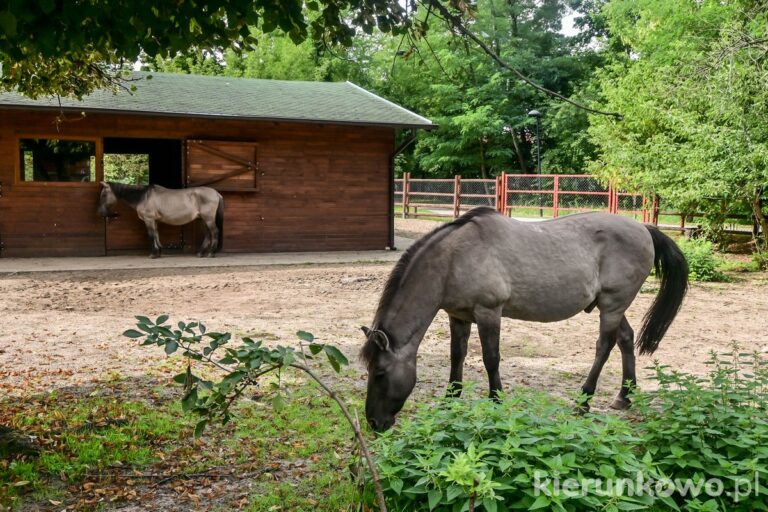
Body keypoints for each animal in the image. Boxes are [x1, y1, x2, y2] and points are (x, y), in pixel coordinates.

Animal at [362, 206, 688, 430]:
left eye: (380, 373)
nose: (375, 423)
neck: (453, 259)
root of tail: (643, 228)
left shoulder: (488, 312)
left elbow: (490, 358)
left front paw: (496, 402)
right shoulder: (459, 317)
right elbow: (457, 357)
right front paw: (450, 402)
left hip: (611, 306)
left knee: (604, 346)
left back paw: (584, 401)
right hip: (610, 307)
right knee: (625, 339)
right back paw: (624, 396)